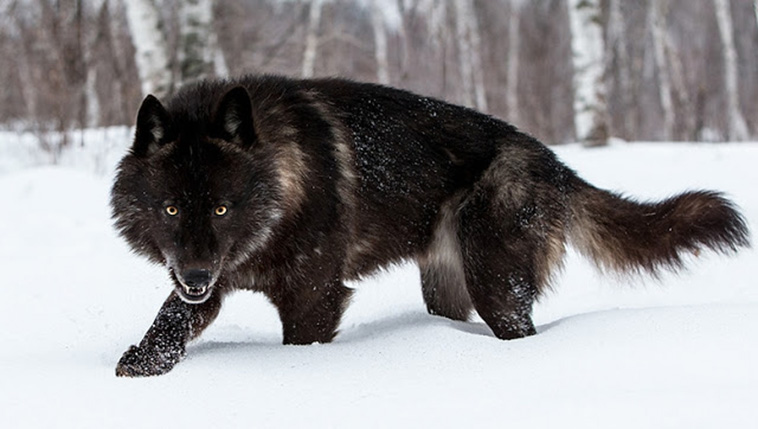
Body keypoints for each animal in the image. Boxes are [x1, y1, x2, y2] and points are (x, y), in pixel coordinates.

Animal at [110, 75, 752, 376]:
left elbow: (301, 345)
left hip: (496, 287)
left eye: (222, 209)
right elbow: (169, 321)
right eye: (171, 210)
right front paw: (140, 367)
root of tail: (552, 161)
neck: (283, 179)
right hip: (446, 289)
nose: (196, 275)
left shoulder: (314, 298)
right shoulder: (207, 282)